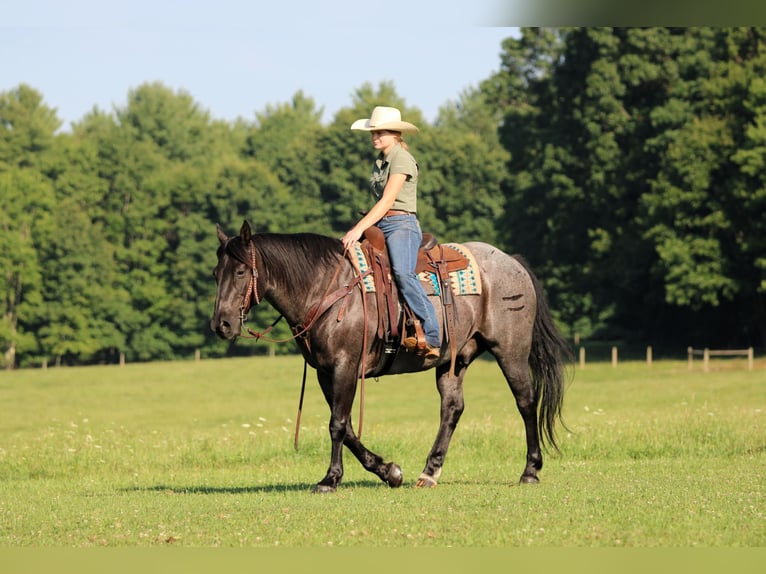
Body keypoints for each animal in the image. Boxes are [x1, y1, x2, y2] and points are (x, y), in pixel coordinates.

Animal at [211, 220, 571, 493]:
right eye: (216, 273)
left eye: (241, 272)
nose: (221, 324)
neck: (327, 287)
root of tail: (511, 261)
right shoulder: (325, 372)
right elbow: (348, 427)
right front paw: (389, 471)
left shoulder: (344, 365)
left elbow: (337, 424)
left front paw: (330, 479)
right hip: (454, 361)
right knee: (452, 409)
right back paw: (429, 472)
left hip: (510, 351)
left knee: (526, 401)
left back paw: (530, 470)